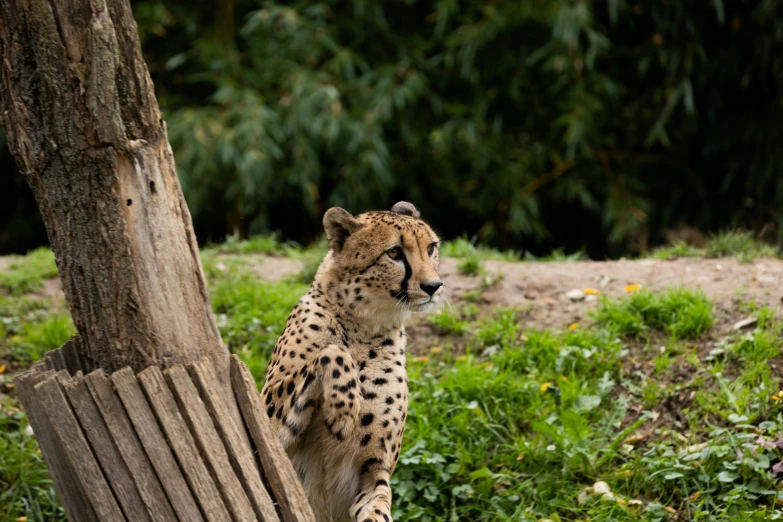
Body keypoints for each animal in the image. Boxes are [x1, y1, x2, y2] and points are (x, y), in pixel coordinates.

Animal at [262, 201, 444, 516]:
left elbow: (378, 505)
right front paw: (343, 412)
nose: (434, 286)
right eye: (394, 252)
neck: (363, 327)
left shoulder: (374, 469)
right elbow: (331, 353)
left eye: (431, 247)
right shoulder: (265, 422)